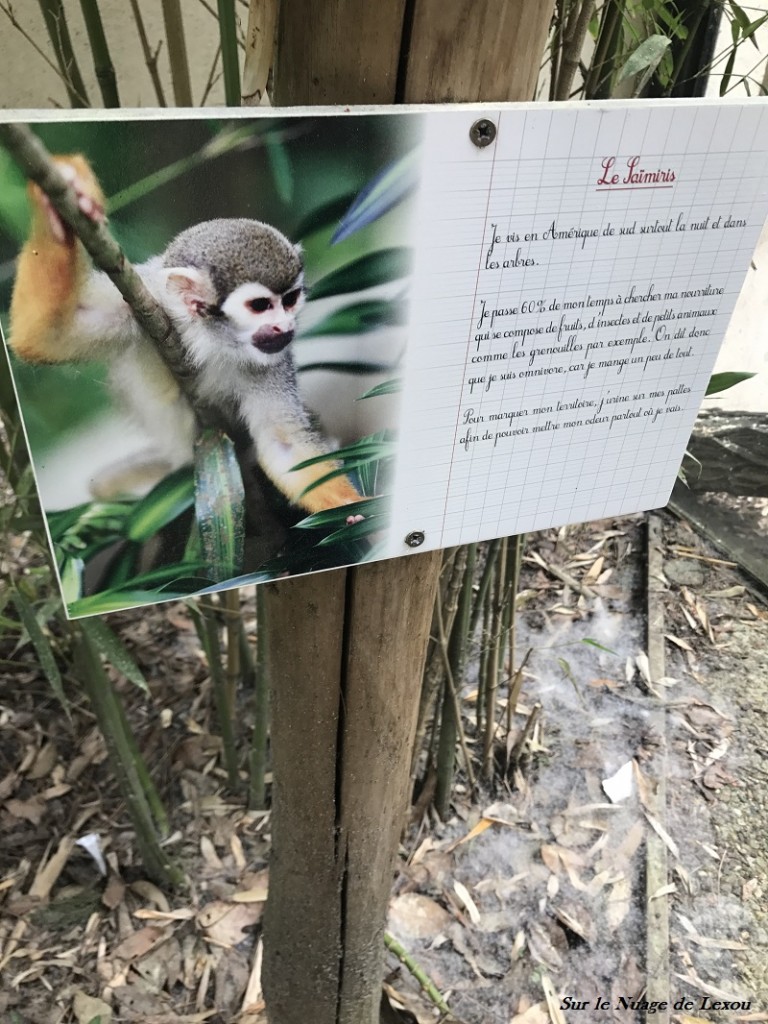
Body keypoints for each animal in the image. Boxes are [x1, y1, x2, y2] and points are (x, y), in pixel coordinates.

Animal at [8, 154, 364, 516]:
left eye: (290, 300)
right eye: (261, 306)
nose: (284, 326)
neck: (211, 337)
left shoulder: (270, 362)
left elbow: (285, 446)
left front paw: (354, 509)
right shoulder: (140, 303)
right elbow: (47, 335)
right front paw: (61, 202)